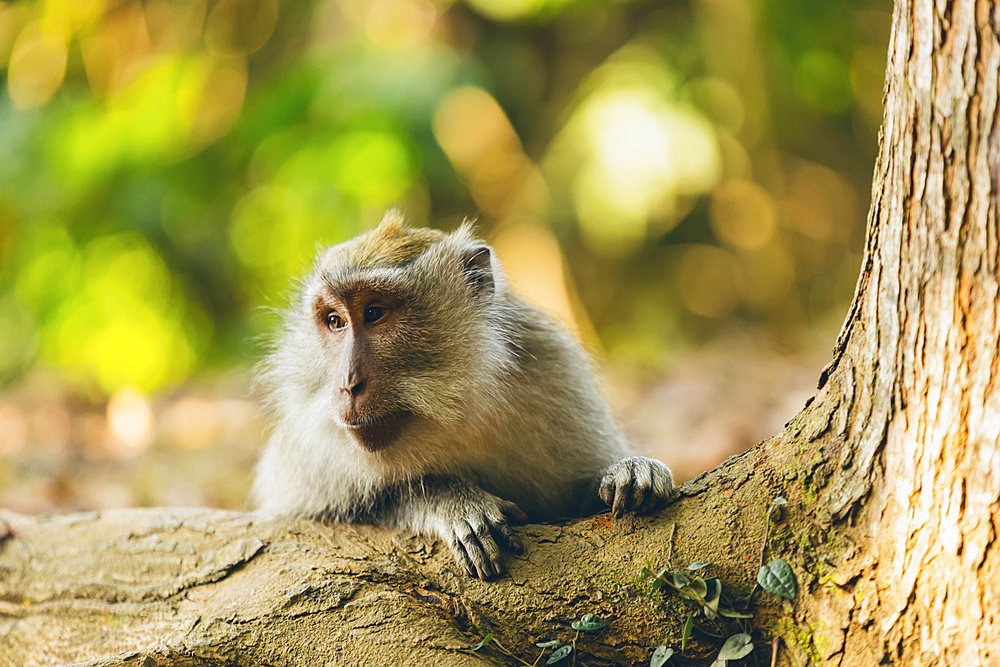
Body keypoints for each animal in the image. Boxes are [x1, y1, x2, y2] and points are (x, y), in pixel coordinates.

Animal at [250, 213, 676, 580]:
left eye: (373, 312)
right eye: (335, 321)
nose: (348, 384)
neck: (452, 407)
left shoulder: (552, 369)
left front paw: (628, 470)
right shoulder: (309, 453)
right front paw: (451, 499)